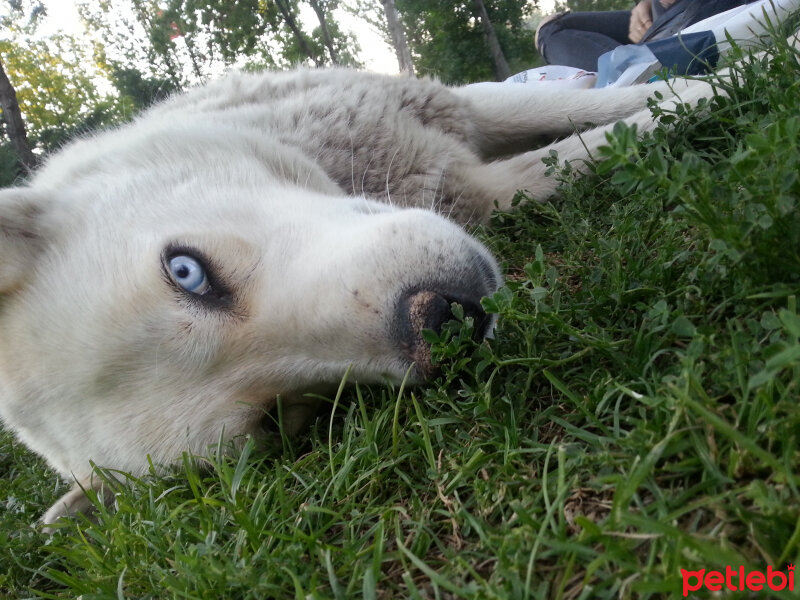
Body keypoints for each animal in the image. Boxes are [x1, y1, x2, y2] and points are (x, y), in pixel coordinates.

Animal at [0, 67, 712, 524]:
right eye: (280, 421)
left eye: (186, 271)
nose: (443, 321)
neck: (344, 165)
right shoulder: (479, 188)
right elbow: (592, 145)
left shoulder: (450, 103)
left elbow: (627, 100)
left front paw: (728, 62)